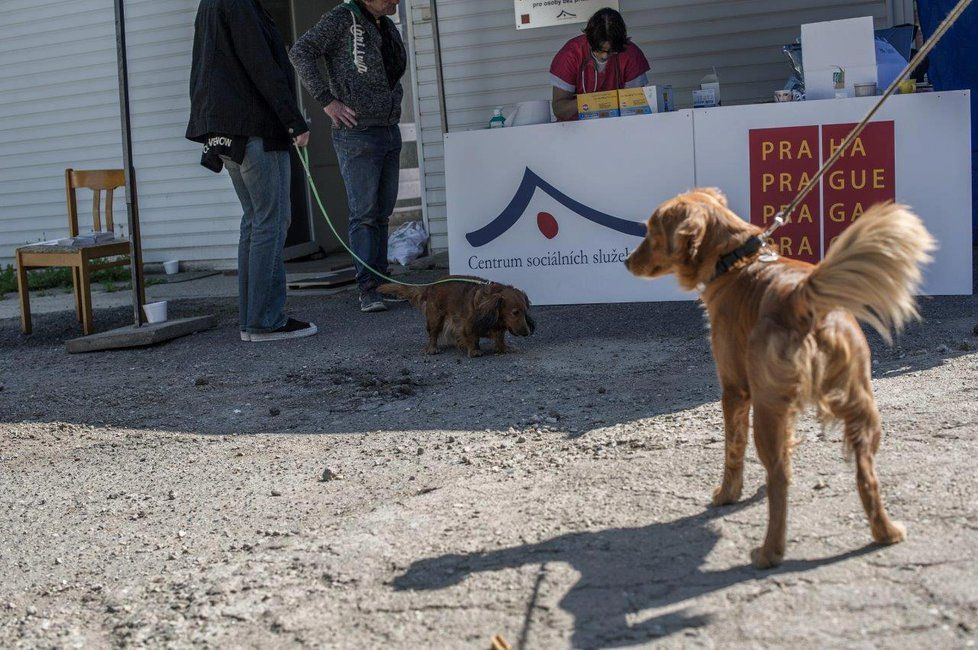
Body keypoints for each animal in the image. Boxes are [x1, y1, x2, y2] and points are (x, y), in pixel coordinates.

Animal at [380, 276, 532, 356]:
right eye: (515, 312)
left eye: (525, 311)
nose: (527, 333)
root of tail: (430, 286)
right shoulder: (467, 324)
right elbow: (471, 337)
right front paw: (474, 351)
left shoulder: (499, 327)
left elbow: (500, 338)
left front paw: (503, 348)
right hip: (436, 318)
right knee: (433, 334)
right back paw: (432, 348)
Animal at [620, 189, 936, 568]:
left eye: (651, 231)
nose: (626, 262)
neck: (735, 260)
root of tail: (802, 298)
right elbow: (787, 445)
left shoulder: (734, 390)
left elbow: (733, 450)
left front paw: (726, 494)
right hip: (860, 407)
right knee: (866, 475)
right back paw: (885, 532)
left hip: (766, 409)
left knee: (779, 479)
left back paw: (769, 552)